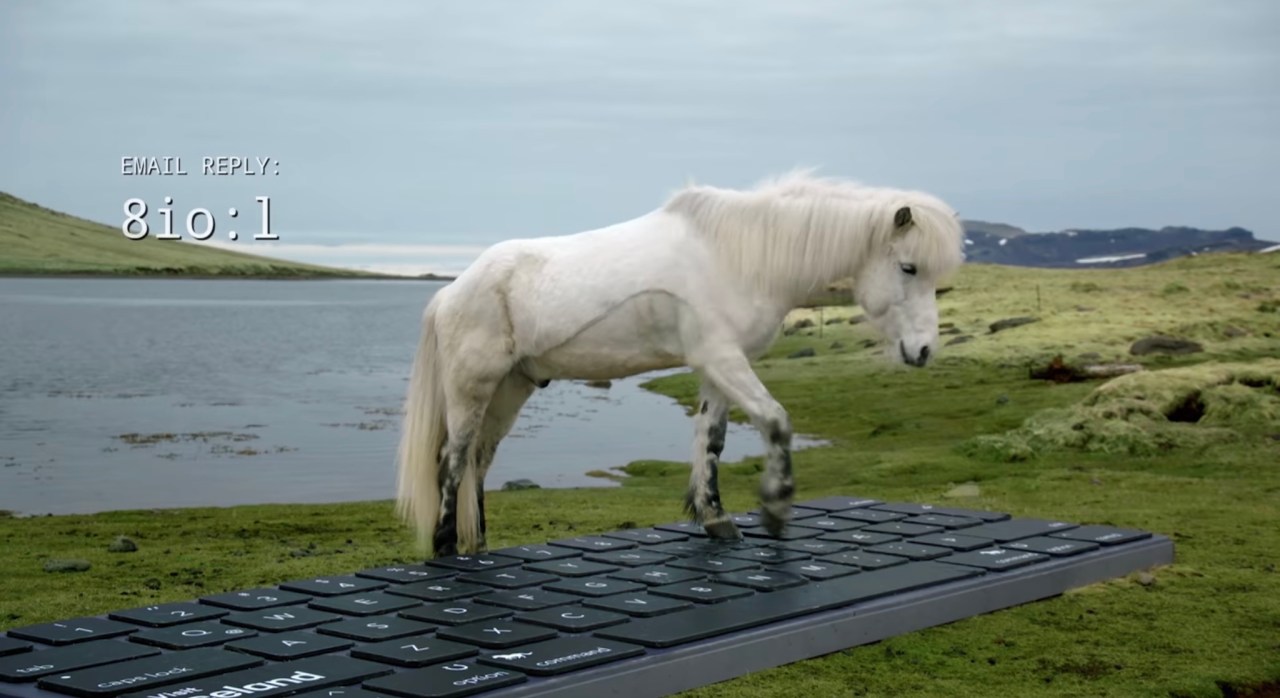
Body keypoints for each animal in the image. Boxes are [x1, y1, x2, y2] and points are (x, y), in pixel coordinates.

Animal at [396, 170, 966, 557]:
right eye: (908, 267)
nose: (923, 351)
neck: (741, 255)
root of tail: (451, 291)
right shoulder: (724, 358)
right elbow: (776, 422)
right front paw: (775, 509)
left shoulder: (718, 366)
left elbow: (711, 440)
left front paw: (715, 519)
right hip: (472, 388)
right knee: (452, 461)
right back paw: (445, 548)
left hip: (511, 389)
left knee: (478, 461)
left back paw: (478, 545)